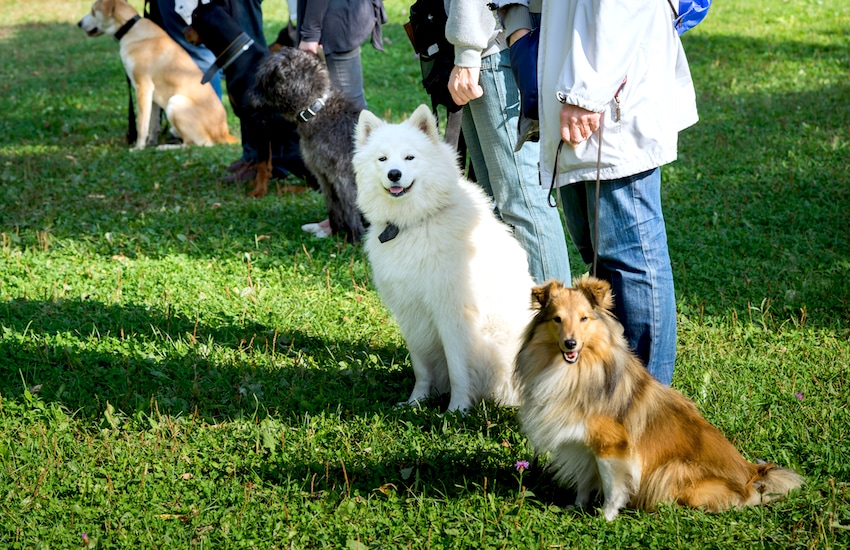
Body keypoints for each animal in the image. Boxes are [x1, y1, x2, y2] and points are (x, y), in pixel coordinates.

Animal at [255, 48, 368, 244]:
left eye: (265, 79)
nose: (250, 96)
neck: (315, 111)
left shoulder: (344, 178)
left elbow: (351, 208)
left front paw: (354, 237)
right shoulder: (323, 176)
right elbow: (333, 205)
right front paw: (335, 231)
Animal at [354, 105, 532, 412]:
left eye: (410, 157)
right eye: (382, 158)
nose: (394, 174)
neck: (414, 222)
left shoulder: (453, 313)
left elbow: (458, 367)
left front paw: (457, 410)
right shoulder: (411, 312)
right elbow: (421, 368)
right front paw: (415, 402)